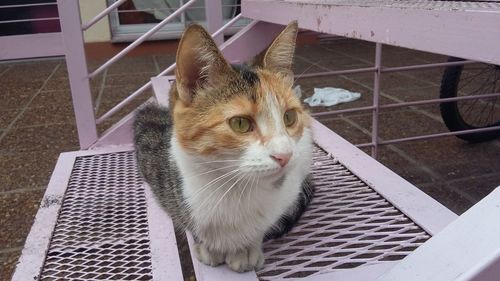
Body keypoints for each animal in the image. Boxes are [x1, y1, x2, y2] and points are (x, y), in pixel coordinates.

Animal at [133, 20, 312, 272]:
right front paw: (208, 247)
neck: (235, 190)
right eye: (240, 123)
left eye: (289, 117)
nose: (284, 156)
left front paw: (247, 249)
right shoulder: (148, 135)